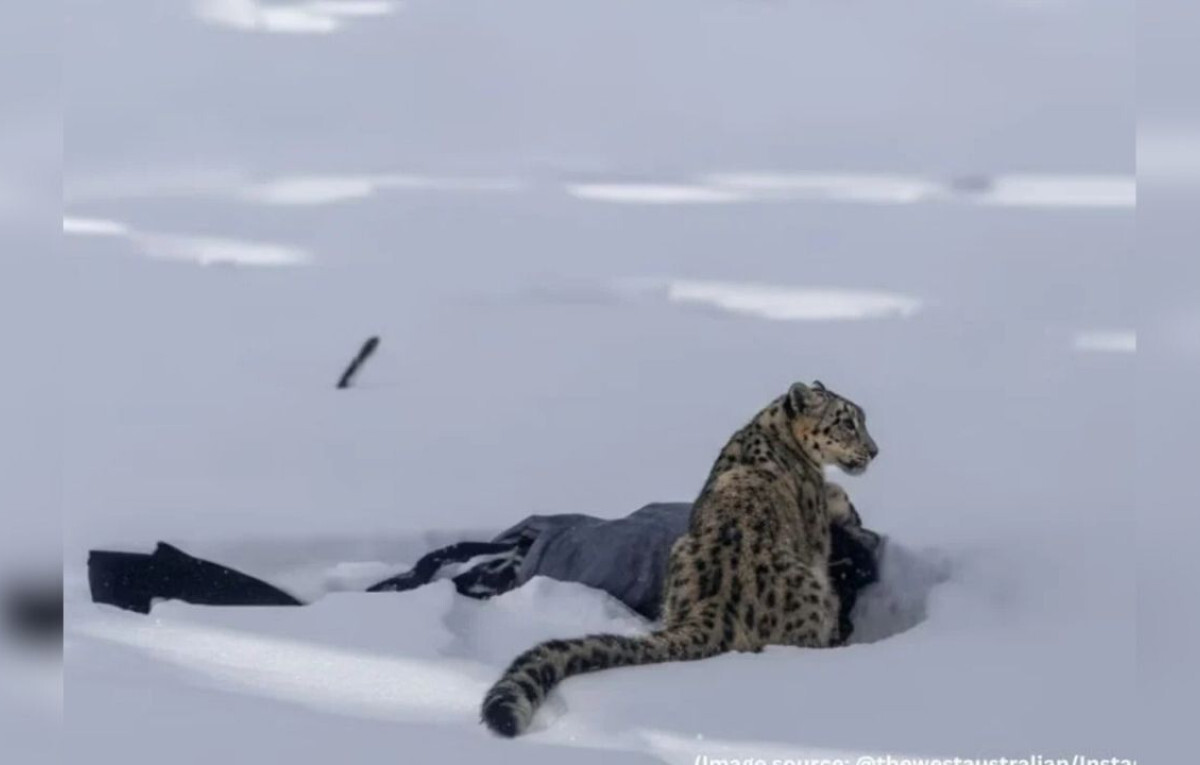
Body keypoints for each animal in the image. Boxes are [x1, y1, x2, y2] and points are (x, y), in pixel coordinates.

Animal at [481, 380, 880, 737]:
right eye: (847, 422)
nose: (874, 451)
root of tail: (713, 607)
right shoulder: (817, 533)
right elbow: (833, 497)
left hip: (678, 553)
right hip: (812, 595)